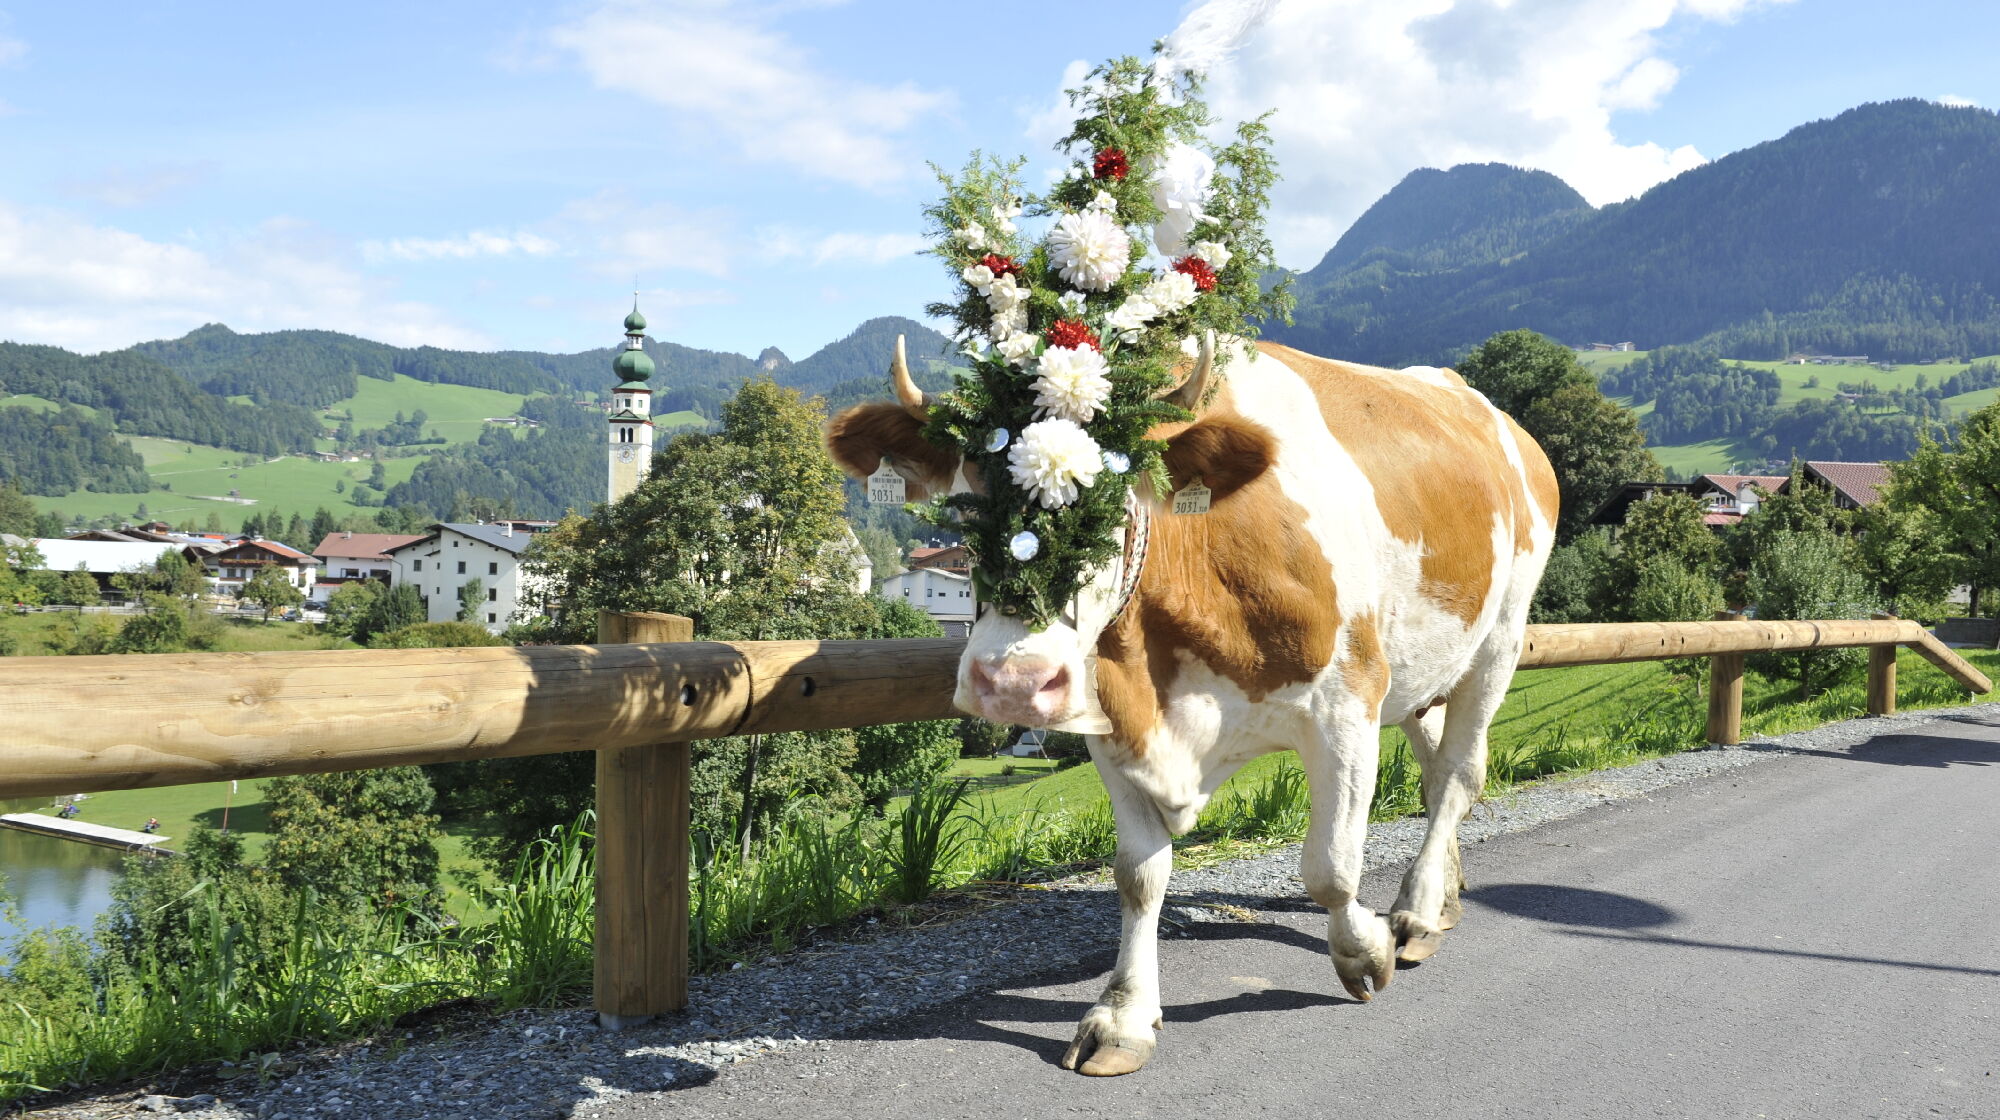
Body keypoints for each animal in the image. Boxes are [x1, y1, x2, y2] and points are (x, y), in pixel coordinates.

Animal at [826, 336, 1558, 1076]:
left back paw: (1413, 914)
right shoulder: (1115, 725)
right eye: (964, 512)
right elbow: (1139, 876)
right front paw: (1123, 1015)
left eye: (1110, 506)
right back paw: (1441, 896)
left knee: (1457, 776)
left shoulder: (1348, 701)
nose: (1012, 682)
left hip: (1499, 637)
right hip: (1426, 669)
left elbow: (1329, 866)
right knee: (1437, 766)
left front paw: (1364, 951)